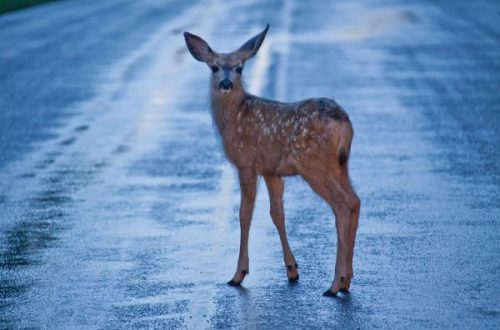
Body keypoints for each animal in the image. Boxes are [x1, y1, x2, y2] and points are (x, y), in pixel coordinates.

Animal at [184, 24, 360, 296]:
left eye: (239, 68)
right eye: (214, 67)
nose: (226, 83)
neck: (234, 118)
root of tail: (341, 121)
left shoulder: (246, 162)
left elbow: (244, 213)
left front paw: (238, 274)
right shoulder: (271, 170)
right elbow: (277, 213)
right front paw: (292, 270)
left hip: (313, 162)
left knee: (343, 204)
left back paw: (335, 283)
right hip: (341, 164)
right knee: (355, 201)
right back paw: (347, 280)